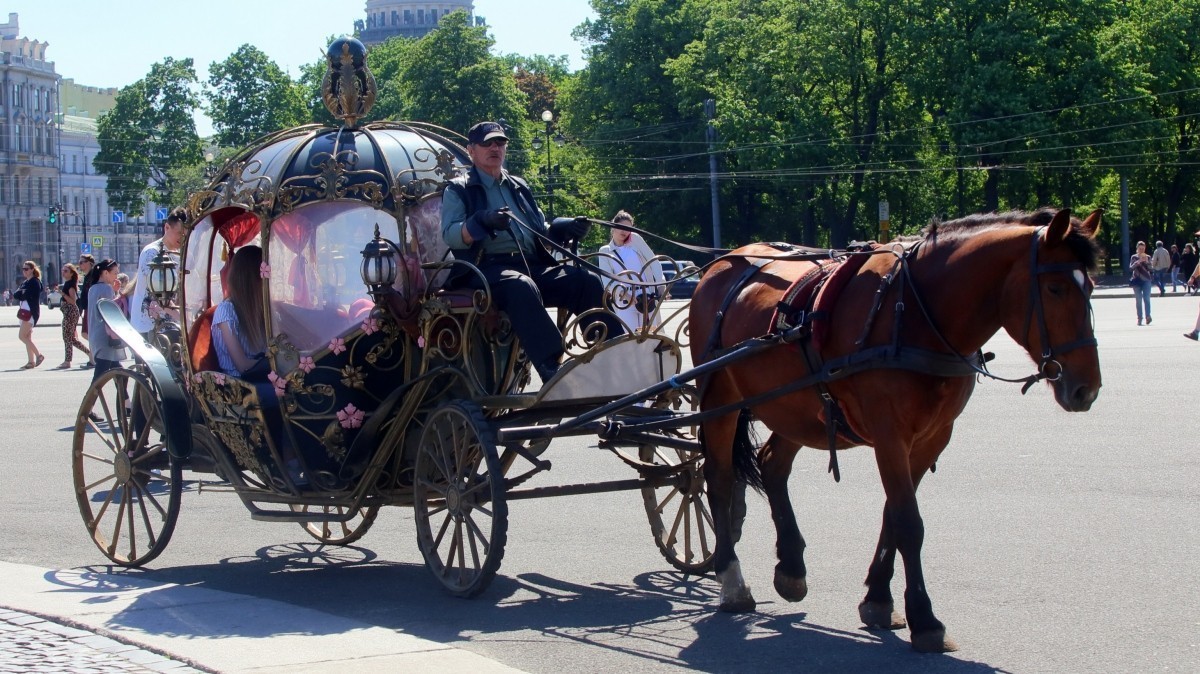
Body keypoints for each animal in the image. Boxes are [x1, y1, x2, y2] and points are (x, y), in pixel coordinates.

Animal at [691, 207, 1099, 647]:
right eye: (1055, 288)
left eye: (1090, 286)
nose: (1086, 389)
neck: (916, 313)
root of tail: (724, 261)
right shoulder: (890, 435)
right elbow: (908, 521)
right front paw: (924, 617)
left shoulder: (931, 438)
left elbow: (893, 515)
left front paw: (878, 598)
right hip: (720, 399)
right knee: (718, 477)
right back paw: (731, 577)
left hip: (795, 404)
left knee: (772, 465)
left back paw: (791, 567)